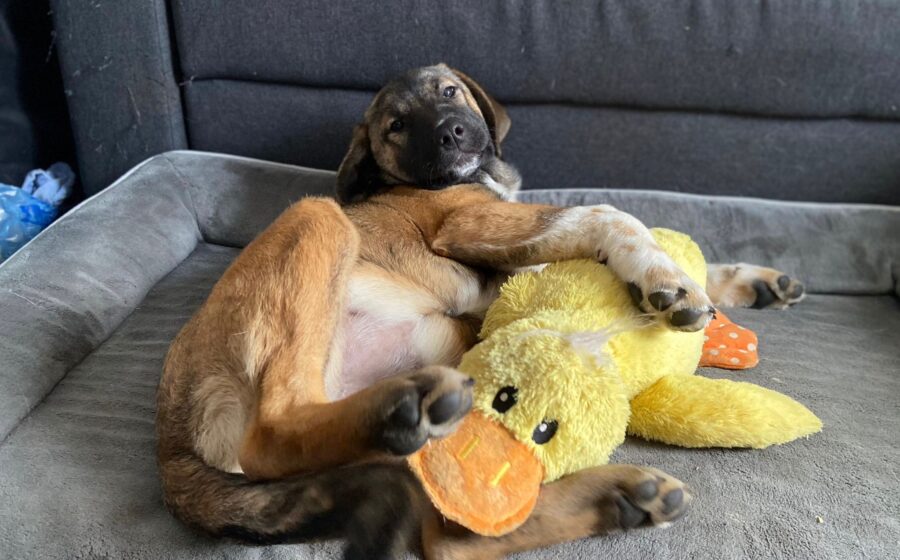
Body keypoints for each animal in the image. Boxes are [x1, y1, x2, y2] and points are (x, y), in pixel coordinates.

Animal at [157, 64, 805, 559]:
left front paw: (756, 280)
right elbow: (608, 214)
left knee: (449, 539)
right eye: (396, 125)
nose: (452, 132)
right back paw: (404, 407)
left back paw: (618, 499)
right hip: (316, 218)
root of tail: (172, 448)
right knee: (271, 437)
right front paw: (666, 280)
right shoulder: (473, 223)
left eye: (449, 91)